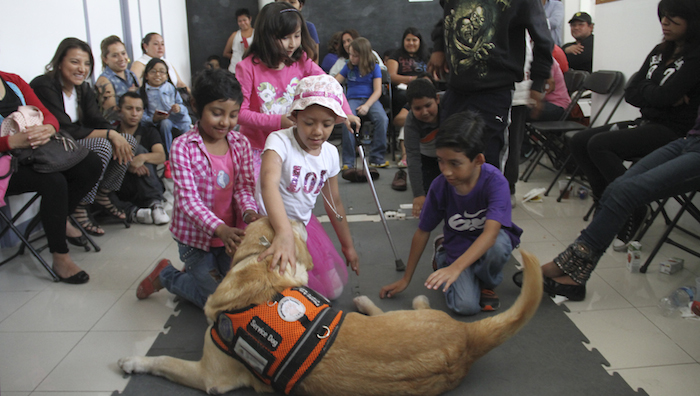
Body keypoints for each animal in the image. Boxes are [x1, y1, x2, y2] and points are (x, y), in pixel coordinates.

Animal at [120, 218, 544, 394]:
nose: (297, 217)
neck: (260, 273)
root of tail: (466, 340)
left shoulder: (210, 375)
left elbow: (162, 361)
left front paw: (132, 362)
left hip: (405, 316)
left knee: (408, 305)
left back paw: (382, 298)